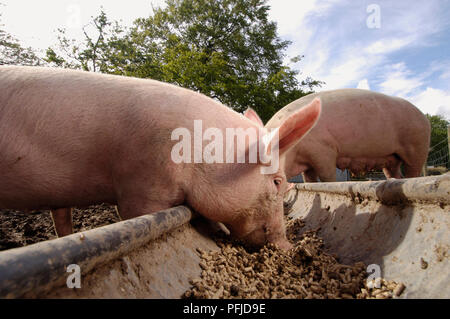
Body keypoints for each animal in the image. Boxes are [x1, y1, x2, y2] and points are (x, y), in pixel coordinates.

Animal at [266, 89, 430, 182]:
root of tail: (425, 117)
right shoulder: (308, 163)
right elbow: (309, 179)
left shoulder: (325, 151)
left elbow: (327, 176)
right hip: (392, 158)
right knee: (394, 172)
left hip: (417, 147)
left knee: (413, 171)